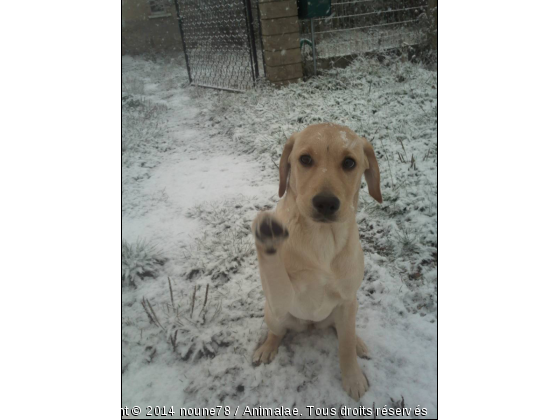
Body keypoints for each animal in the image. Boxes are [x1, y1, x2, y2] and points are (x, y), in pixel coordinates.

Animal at [252, 122, 382, 400]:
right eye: (305, 159)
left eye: (349, 163)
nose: (325, 203)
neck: (322, 238)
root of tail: (310, 326)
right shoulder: (282, 297)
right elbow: (273, 270)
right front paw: (268, 236)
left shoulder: (346, 299)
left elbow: (345, 346)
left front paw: (353, 378)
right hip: (273, 313)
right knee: (276, 332)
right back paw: (267, 347)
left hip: (350, 307)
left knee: (345, 332)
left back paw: (358, 343)